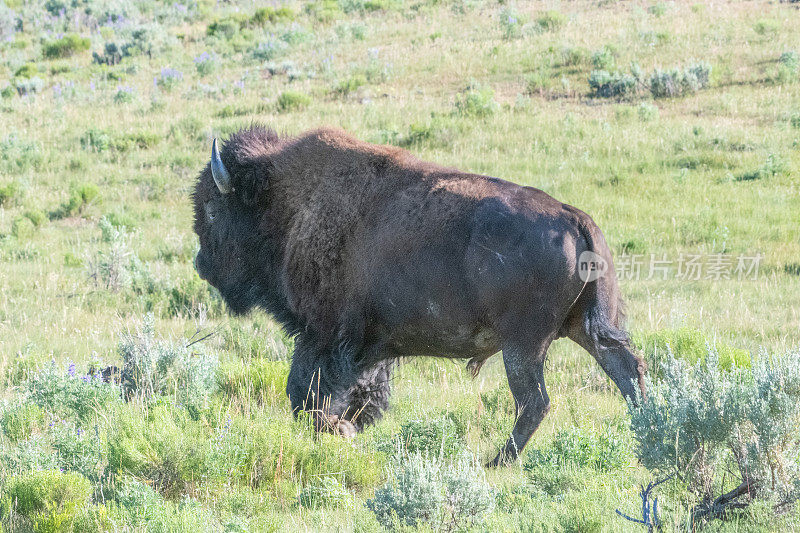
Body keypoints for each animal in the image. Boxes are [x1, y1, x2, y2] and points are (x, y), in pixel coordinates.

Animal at [195, 125, 648, 466]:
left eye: (214, 210)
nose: (201, 264)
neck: (290, 206)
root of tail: (574, 217)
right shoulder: (369, 346)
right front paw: (353, 425)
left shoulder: (325, 336)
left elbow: (307, 392)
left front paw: (339, 429)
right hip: (585, 328)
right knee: (626, 370)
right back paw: (647, 431)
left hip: (523, 345)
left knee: (534, 401)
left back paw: (496, 461)